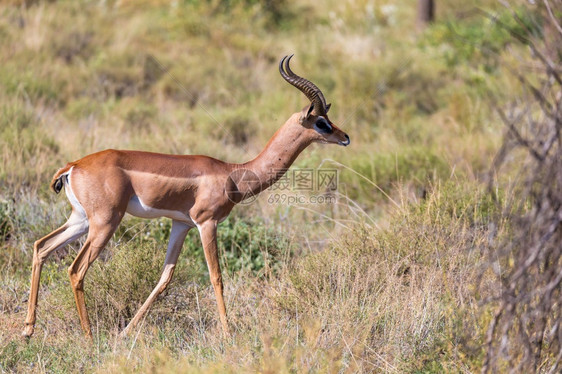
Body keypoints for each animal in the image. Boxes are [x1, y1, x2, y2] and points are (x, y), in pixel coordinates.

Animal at [23, 55, 350, 338]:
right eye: (321, 121)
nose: (345, 137)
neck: (234, 173)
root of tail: (73, 166)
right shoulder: (207, 223)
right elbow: (216, 277)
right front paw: (228, 334)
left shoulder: (181, 225)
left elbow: (164, 278)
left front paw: (126, 332)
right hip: (105, 222)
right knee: (75, 270)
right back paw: (89, 337)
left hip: (81, 220)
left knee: (42, 247)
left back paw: (28, 330)